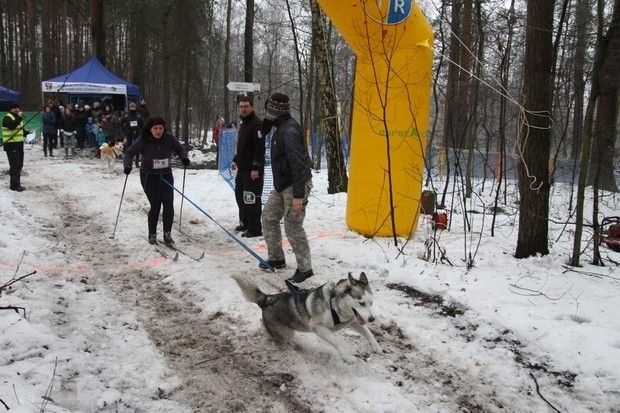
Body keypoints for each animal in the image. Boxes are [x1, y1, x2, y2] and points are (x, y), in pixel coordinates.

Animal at [230, 270, 380, 360]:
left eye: (371, 303)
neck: (334, 304)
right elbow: (338, 340)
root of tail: (268, 299)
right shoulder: (317, 327)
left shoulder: (353, 320)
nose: (372, 319)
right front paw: (347, 357)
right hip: (285, 334)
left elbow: (367, 332)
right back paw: (266, 333)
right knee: (269, 331)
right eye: (361, 303)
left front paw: (375, 346)